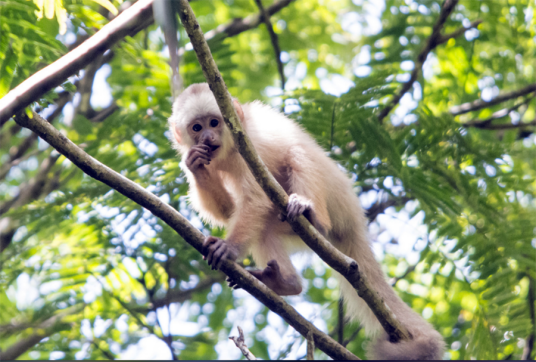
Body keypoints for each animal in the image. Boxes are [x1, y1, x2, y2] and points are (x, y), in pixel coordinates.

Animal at [170, 83, 446, 360]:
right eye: (197, 128)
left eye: (214, 122)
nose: (207, 137)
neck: (228, 151)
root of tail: (357, 219)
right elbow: (228, 211)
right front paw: (195, 166)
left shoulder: (246, 146)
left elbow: (255, 199)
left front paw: (229, 248)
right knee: (265, 227)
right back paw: (284, 282)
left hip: (337, 197)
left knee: (298, 153)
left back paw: (311, 216)